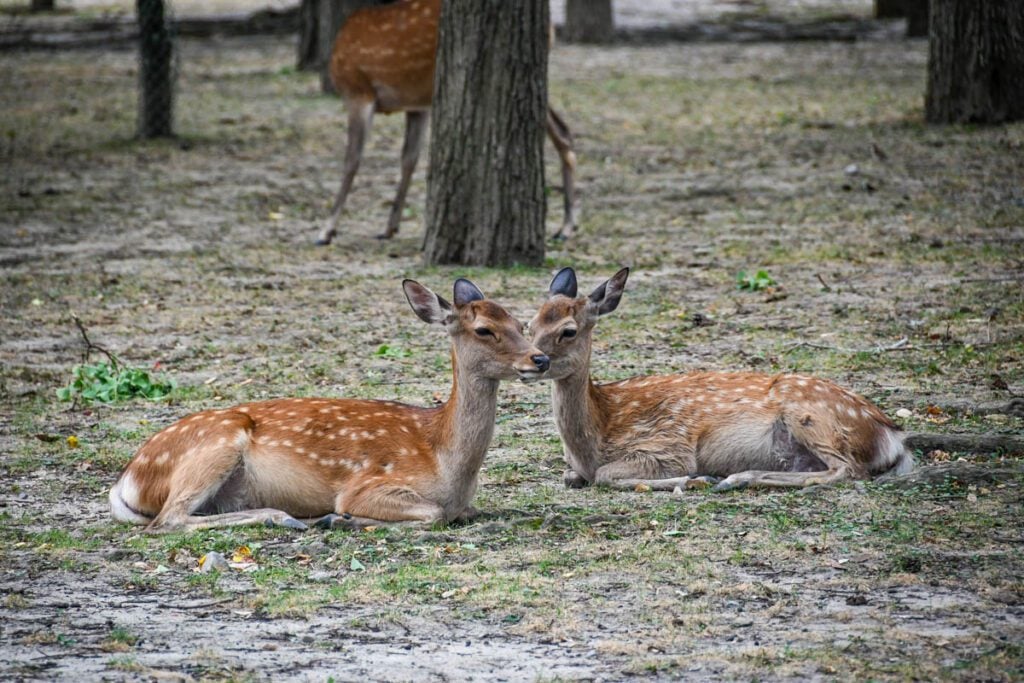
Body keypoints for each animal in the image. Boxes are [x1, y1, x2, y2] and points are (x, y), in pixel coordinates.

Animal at [108, 274, 548, 532]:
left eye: (520, 323)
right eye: (484, 329)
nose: (539, 359)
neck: (446, 461)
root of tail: (127, 479)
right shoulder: (367, 484)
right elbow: (433, 514)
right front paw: (344, 518)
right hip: (215, 444)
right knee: (166, 520)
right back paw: (287, 518)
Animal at [313, 0, 577, 246]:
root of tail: (551, 28)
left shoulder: (357, 91)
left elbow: (351, 161)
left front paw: (326, 230)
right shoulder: (416, 105)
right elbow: (409, 159)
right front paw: (389, 228)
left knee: (561, 132)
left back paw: (567, 225)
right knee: (564, 131)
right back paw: (566, 227)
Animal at [524, 268, 917, 497]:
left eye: (568, 331)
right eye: (530, 324)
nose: (535, 361)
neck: (595, 437)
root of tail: (890, 435)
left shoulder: (667, 445)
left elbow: (606, 475)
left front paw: (692, 480)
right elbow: (571, 477)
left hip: (811, 414)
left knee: (847, 470)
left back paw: (734, 478)